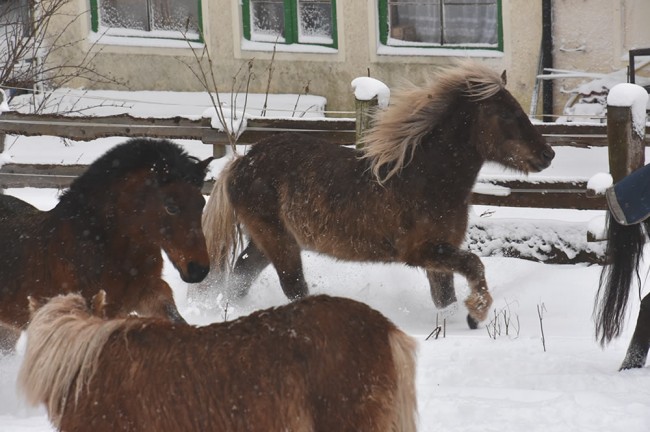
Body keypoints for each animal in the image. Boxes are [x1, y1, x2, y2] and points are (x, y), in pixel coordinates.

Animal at [201, 60, 552, 330]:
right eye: (505, 114)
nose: (547, 155)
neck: (426, 177)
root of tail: (240, 162)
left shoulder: (439, 255)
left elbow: (446, 299)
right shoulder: (421, 251)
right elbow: (475, 264)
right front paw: (477, 311)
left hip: (268, 242)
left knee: (239, 279)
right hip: (278, 241)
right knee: (293, 287)